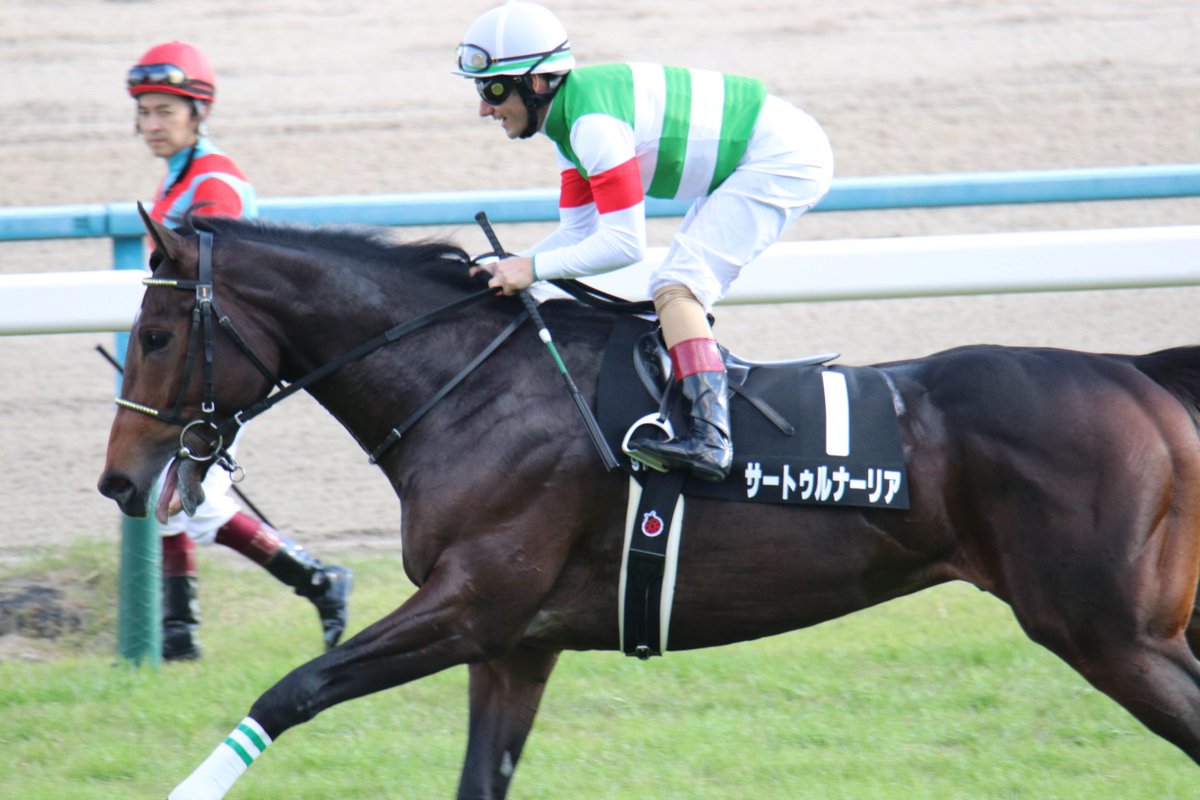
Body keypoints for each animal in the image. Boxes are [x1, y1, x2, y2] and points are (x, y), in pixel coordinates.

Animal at [98, 209, 1200, 799]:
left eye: (154, 332)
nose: (119, 479)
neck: (472, 388)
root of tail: (1138, 374)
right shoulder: (516, 644)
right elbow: (478, 774)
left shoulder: (472, 603)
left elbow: (294, 689)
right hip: (1141, 627)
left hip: (1106, 631)